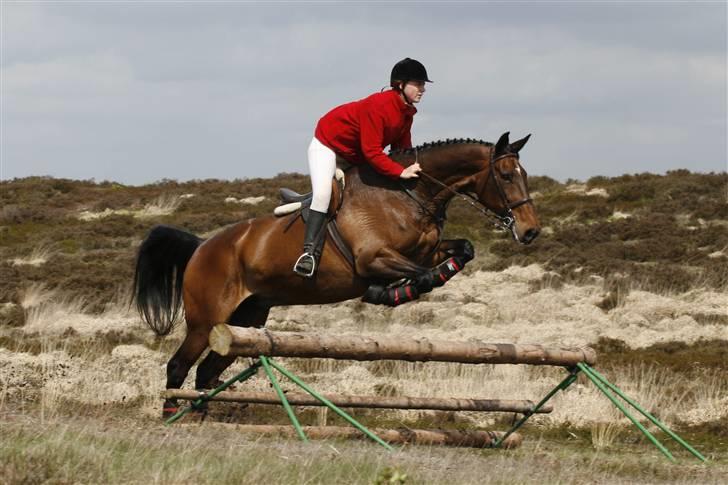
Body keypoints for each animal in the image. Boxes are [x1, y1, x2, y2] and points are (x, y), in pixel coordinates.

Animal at [132, 130, 540, 414]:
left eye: (524, 174)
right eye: (506, 175)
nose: (530, 231)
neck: (410, 195)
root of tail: (203, 246)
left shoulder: (427, 250)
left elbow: (461, 252)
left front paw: (404, 287)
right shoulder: (373, 258)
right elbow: (419, 275)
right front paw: (387, 292)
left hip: (245, 321)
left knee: (205, 371)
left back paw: (203, 414)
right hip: (205, 321)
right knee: (178, 366)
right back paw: (172, 415)